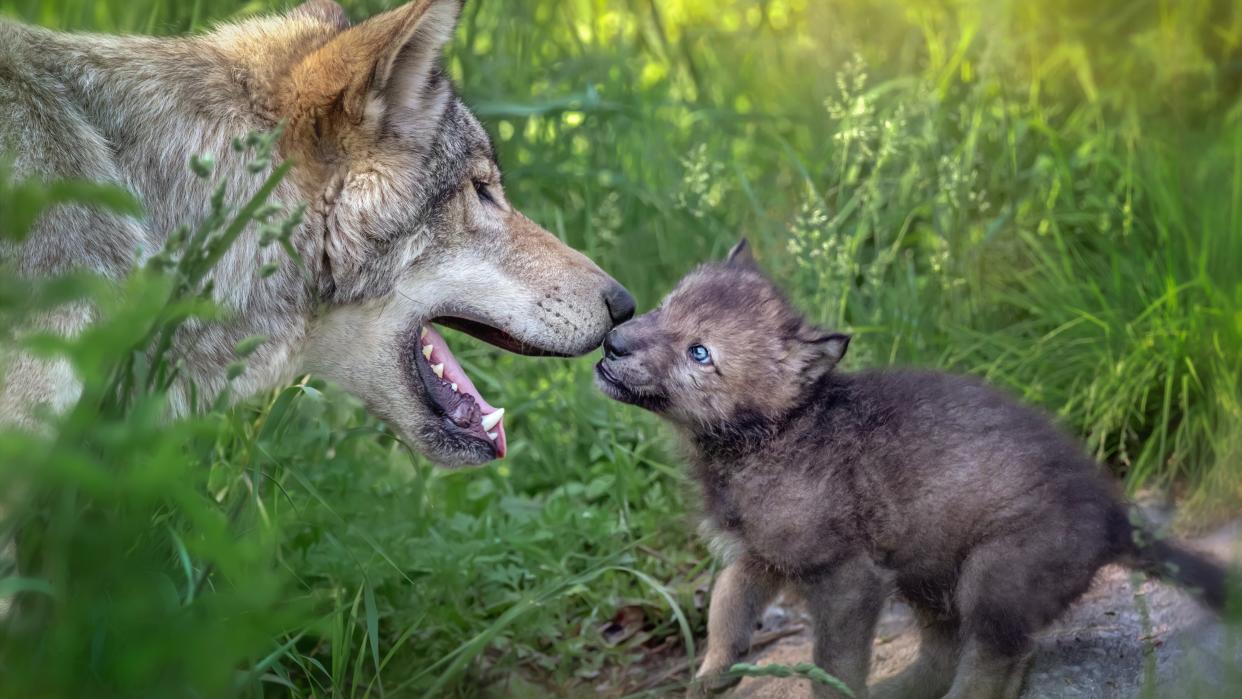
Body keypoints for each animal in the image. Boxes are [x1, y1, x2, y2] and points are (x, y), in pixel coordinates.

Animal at [596, 242, 1227, 699]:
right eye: (666, 304)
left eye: (699, 353)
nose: (614, 341)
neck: (772, 435)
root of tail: (1117, 517)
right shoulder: (762, 554)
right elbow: (726, 609)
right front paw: (710, 676)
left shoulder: (846, 575)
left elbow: (833, 664)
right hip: (930, 574)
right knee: (948, 654)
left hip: (994, 577)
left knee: (999, 660)